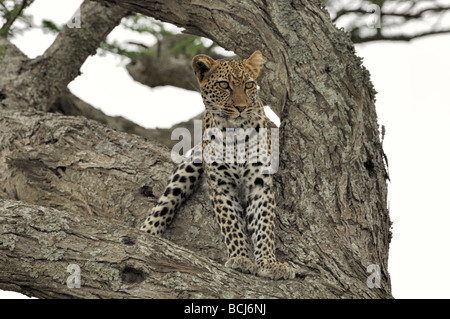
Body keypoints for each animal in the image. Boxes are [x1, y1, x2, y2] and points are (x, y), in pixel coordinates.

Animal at [141, 50, 296, 280]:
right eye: (224, 85)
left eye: (249, 85)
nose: (241, 107)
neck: (234, 133)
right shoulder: (221, 186)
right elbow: (231, 224)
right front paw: (241, 258)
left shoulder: (259, 184)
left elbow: (264, 225)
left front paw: (269, 263)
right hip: (191, 164)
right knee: (163, 205)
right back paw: (146, 233)